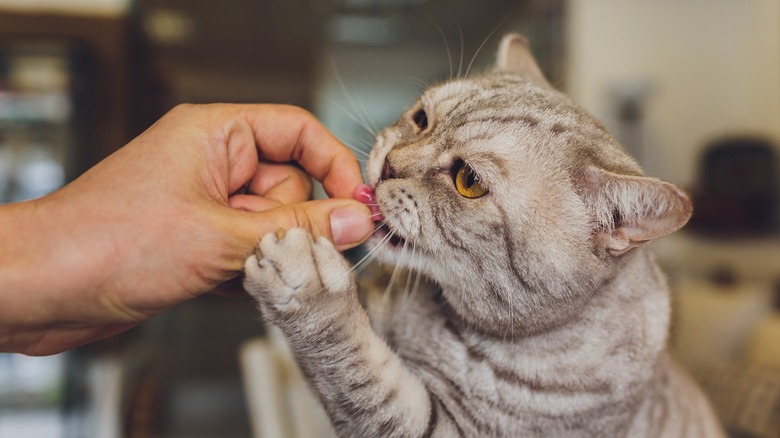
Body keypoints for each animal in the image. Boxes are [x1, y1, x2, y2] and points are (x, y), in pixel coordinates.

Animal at [245, 32, 724, 436]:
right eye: (421, 118)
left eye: (469, 180)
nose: (388, 166)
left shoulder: (447, 428)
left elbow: (361, 377)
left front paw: (306, 289)